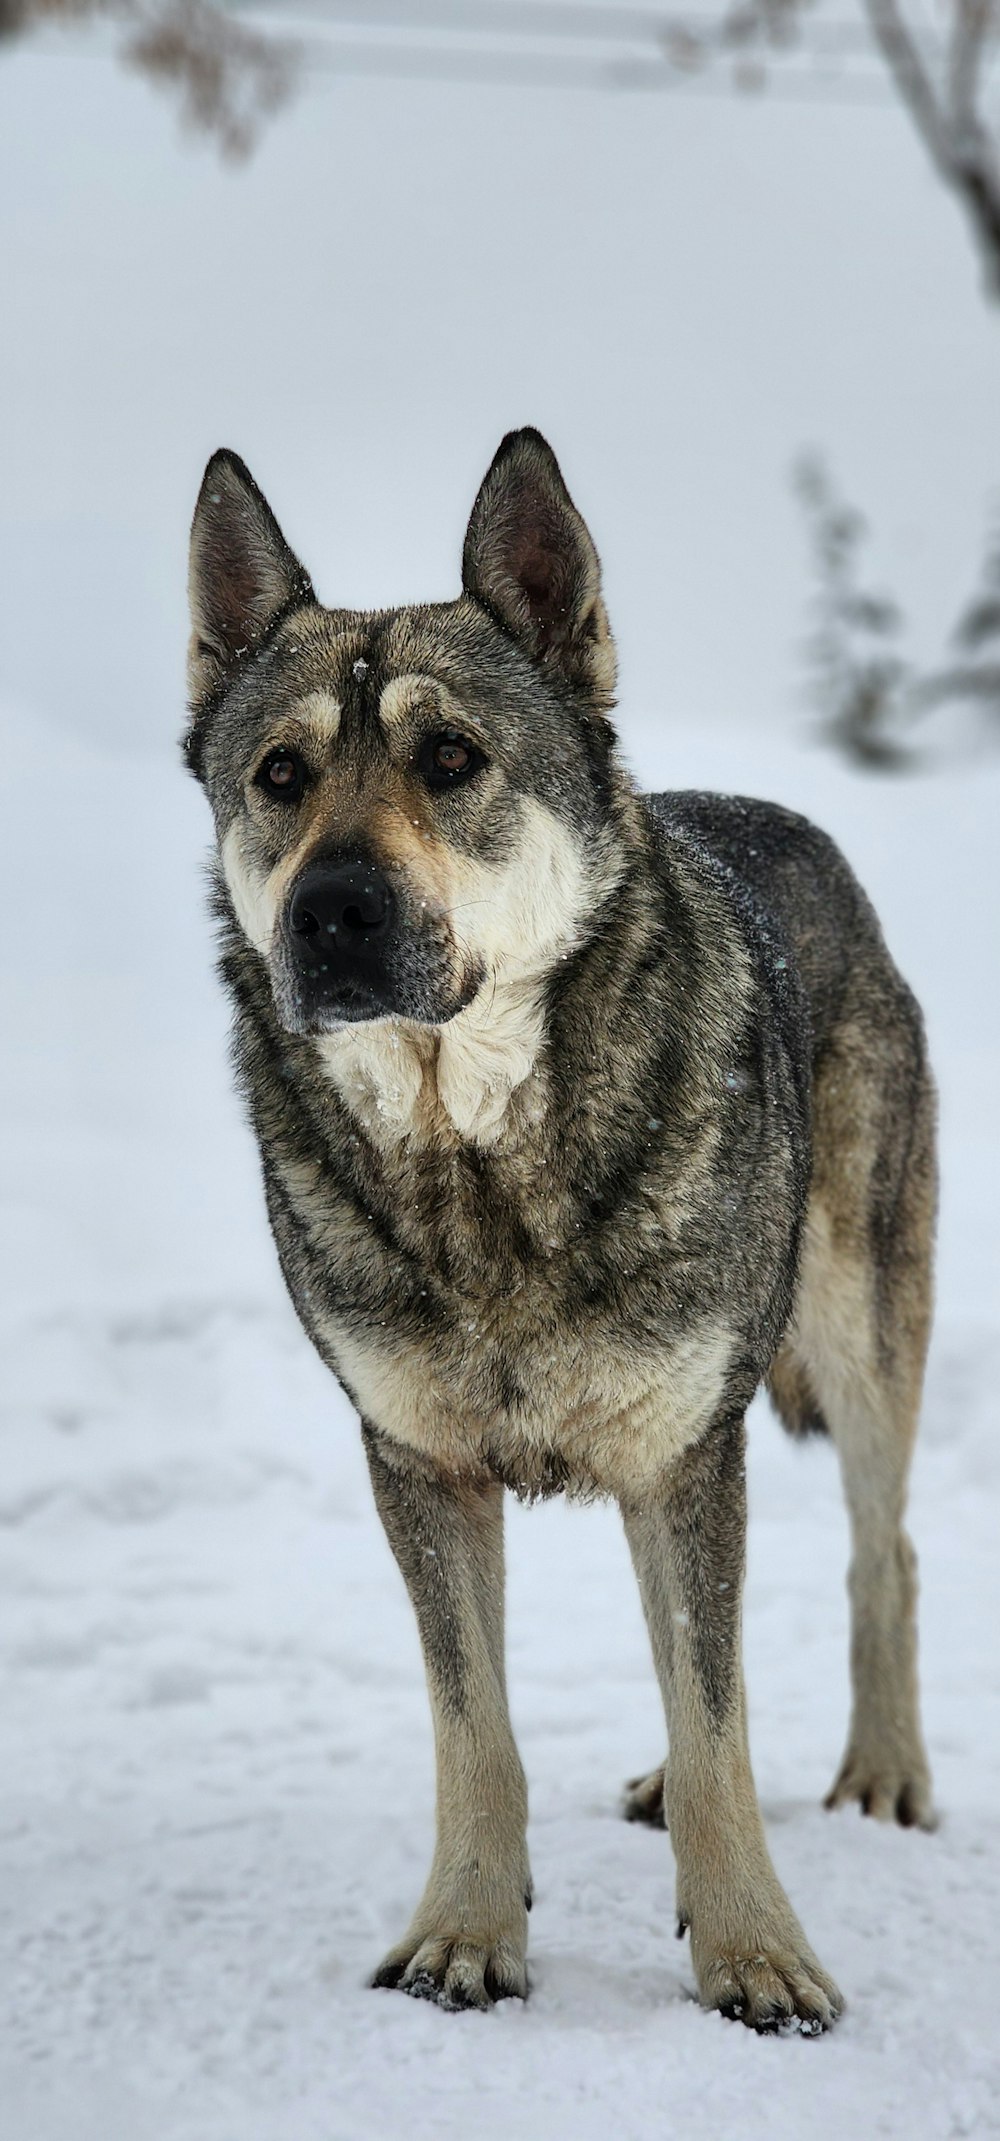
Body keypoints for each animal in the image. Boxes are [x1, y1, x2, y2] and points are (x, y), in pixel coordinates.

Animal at [182, 426, 937, 2029]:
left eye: (450, 759)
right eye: (279, 776)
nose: (331, 911)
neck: (478, 1166)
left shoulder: (684, 1451)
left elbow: (720, 1730)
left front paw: (755, 1955)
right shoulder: (418, 1460)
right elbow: (478, 1729)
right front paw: (465, 1933)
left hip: (854, 1343)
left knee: (880, 1553)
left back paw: (885, 1777)